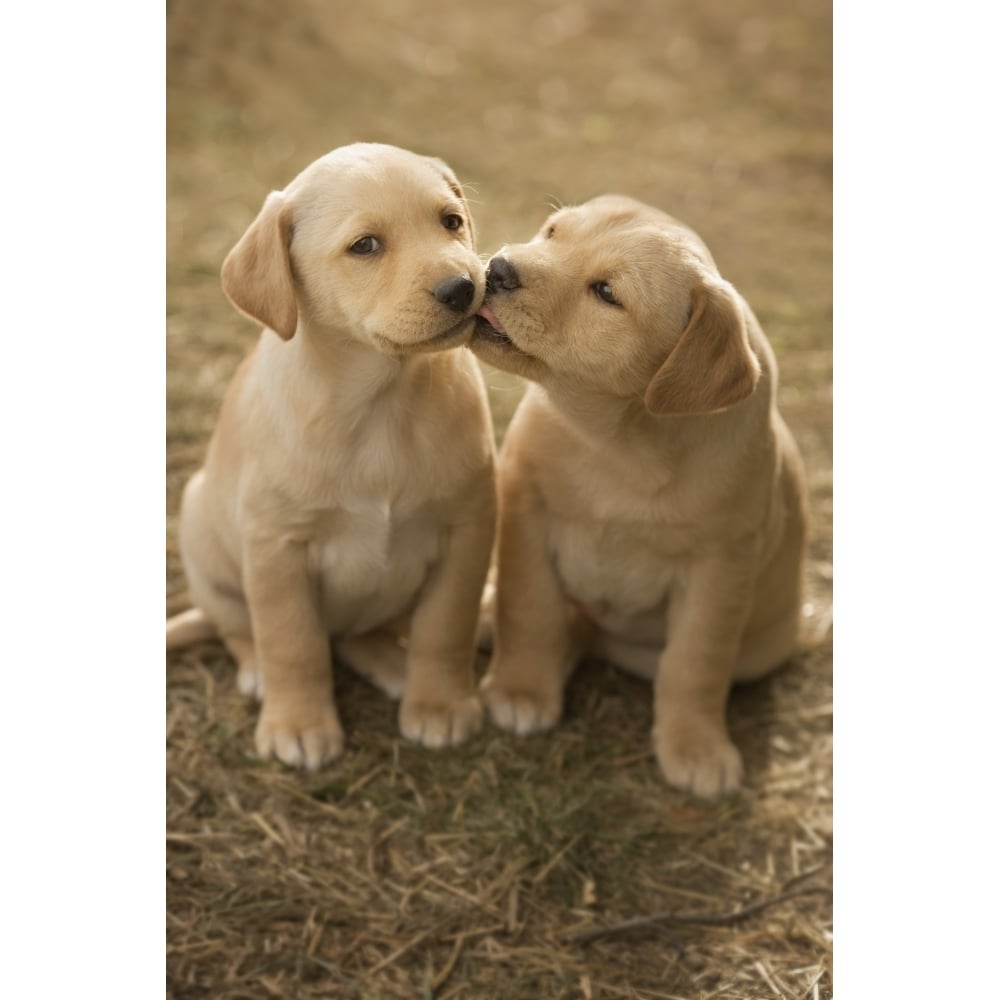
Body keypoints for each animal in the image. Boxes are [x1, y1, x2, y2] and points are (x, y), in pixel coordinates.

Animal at [166, 141, 498, 768]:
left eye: (451, 222)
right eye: (365, 246)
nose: (465, 287)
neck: (381, 400)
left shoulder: (467, 531)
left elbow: (445, 629)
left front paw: (440, 704)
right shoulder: (277, 548)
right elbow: (293, 642)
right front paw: (298, 723)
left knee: (357, 637)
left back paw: (395, 663)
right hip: (206, 541)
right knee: (242, 630)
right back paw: (260, 674)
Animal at [472, 195, 808, 796]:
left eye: (607, 293)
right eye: (552, 233)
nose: (500, 268)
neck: (620, 441)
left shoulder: (720, 568)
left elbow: (694, 665)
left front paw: (696, 747)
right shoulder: (526, 514)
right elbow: (530, 608)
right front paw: (520, 689)